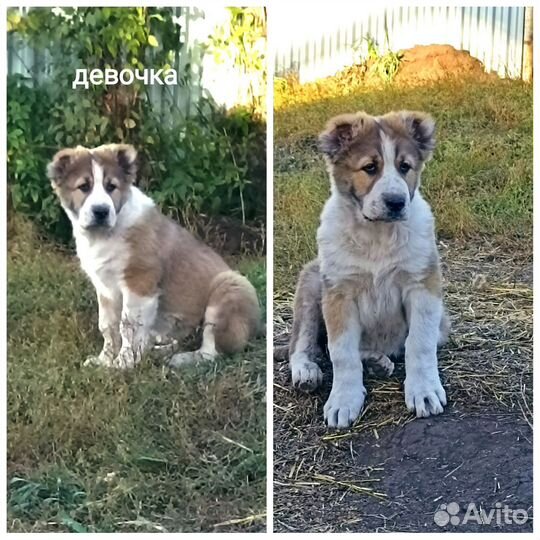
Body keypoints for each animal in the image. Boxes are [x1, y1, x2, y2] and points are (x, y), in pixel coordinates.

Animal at [48, 143, 262, 370]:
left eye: (111, 187)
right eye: (84, 187)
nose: (101, 211)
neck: (105, 235)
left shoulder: (139, 284)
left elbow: (128, 326)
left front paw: (122, 364)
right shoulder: (106, 289)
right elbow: (108, 326)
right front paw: (104, 360)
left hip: (229, 287)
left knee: (211, 350)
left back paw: (181, 358)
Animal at [288, 112, 450, 428]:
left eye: (404, 167)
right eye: (370, 168)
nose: (396, 202)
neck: (378, 235)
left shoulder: (422, 285)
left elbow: (420, 344)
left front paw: (424, 391)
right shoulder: (338, 292)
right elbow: (341, 352)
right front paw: (344, 400)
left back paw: (376, 362)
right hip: (313, 283)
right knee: (302, 343)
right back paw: (307, 370)